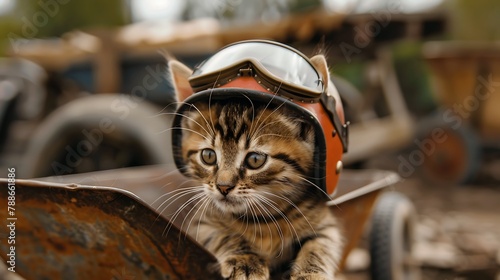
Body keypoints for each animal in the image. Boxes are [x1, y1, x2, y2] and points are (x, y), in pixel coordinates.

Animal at [170, 55, 342, 278]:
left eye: (255, 160)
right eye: (208, 156)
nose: (223, 187)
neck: (262, 219)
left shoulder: (326, 224)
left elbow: (321, 244)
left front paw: (310, 273)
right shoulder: (202, 223)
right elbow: (224, 234)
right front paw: (245, 260)